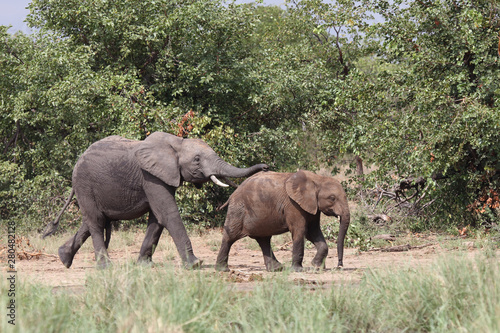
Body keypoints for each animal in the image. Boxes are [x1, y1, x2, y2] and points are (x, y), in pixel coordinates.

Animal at [43, 131, 270, 268]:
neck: (177, 142)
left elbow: (156, 218)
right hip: (84, 183)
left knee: (92, 220)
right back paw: (105, 267)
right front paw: (195, 265)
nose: (266, 167)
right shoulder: (150, 176)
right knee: (96, 222)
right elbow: (167, 213)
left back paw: (64, 258)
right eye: (197, 160)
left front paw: (144, 265)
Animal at [216, 170, 352, 272]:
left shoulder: (313, 207)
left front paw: (317, 266)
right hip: (238, 210)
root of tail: (232, 195)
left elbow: (313, 232)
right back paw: (223, 269)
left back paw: (277, 269)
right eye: (332, 198)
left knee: (264, 240)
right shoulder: (293, 205)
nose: (339, 265)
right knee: (230, 237)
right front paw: (298, 270)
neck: (318, 179)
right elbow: (300, 231)